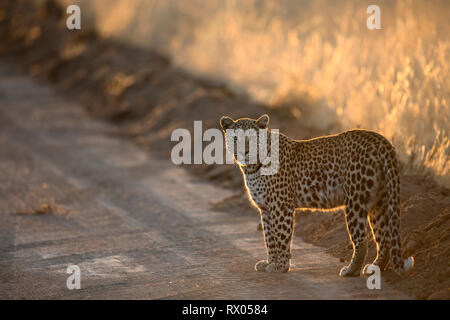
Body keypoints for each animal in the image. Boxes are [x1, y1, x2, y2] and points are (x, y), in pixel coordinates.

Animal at [220, 114, 414, 276]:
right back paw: (375, 267)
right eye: (236, 139)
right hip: (379, 201)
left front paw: (280, 266)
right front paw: (270, 262)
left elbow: (281, 236)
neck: (251, 168)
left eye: (253, 139)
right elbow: (269, 238)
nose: (245, 152)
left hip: (355, 200)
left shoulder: (281, 207)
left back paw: (350, 270)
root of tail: (381, 140)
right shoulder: (266, 209)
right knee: (384, 238)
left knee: (361, 240)